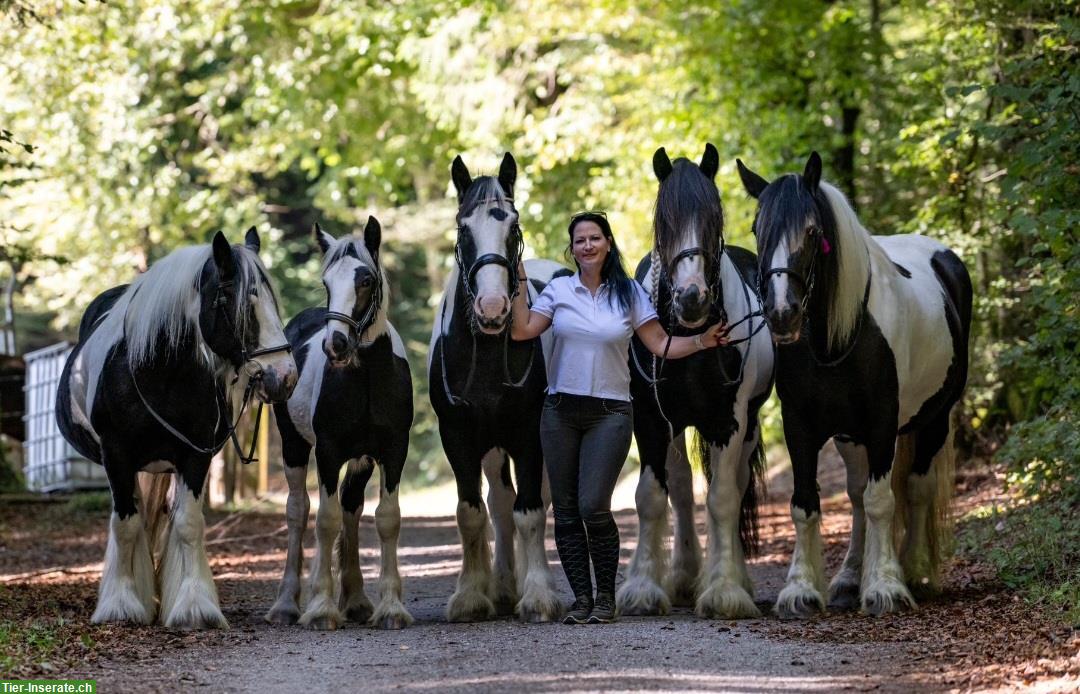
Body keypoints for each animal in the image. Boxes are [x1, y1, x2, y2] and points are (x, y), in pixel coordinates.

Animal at [265, 220, 412, 634]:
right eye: (326, 282)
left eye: (366, 280)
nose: (337, 344)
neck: (367, 380)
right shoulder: (328, 452)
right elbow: (325, 521)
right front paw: (320, 609)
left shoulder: (392, 453)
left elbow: (387, 519)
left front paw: (390, 608)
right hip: (295, 448)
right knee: (299, 512)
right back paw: (288, 604)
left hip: (360, 460)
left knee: (350, 507)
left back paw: (357, 600)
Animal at [427, 154, 565, 621]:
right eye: (462, 228)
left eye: (514, 226)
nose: (492, 308)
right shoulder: (458, 437)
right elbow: (472, 513)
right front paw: (471, 595)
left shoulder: (528, 434)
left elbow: (531, 512)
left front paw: (538, 595)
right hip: (491, 447)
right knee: (500, 503)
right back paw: (503, 586)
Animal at [617, 145, 777, 617]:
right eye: (663, 223)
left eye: (713, 219)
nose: (692, 299)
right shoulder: (652, 419)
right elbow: (652, 497)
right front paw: (643, 589)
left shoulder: (729, 422)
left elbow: (723, 499)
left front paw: (724, 591)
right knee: (683, 488)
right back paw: (685, 577)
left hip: (748, 425)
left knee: (735, 487)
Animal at [738, 153, 976, 617]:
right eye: (757, 229)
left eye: (812, 231)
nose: (781, 314)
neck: (836, 338)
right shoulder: (801, 425)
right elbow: (806, 505)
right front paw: (801, 590)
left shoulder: (883, 423)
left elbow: (883, 500)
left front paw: (885, 586)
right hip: (851, 436)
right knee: (857, 495)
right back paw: (850, 579)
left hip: (933, 419)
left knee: (915, 490)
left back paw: (916, 573)